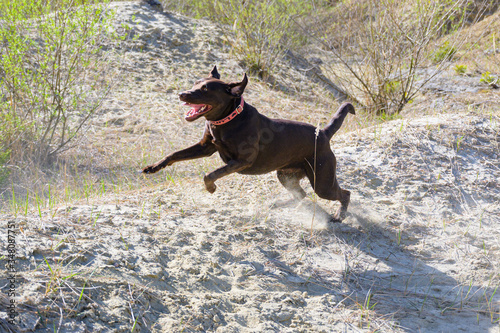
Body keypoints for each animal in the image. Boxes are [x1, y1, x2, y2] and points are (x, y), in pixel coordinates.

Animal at [143, 66, 354, 219]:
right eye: (195, 83)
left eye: (205, 90)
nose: (182, 94)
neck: (227, 120)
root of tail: (324, 133)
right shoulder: (205, 147)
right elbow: (174, 154)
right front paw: (153, 167)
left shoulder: (242, 161)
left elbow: (210, 174)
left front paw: (211, 188)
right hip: (286, 176)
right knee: (303, 195)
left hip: (322, 182)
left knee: (345, 193)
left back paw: (340, 215)